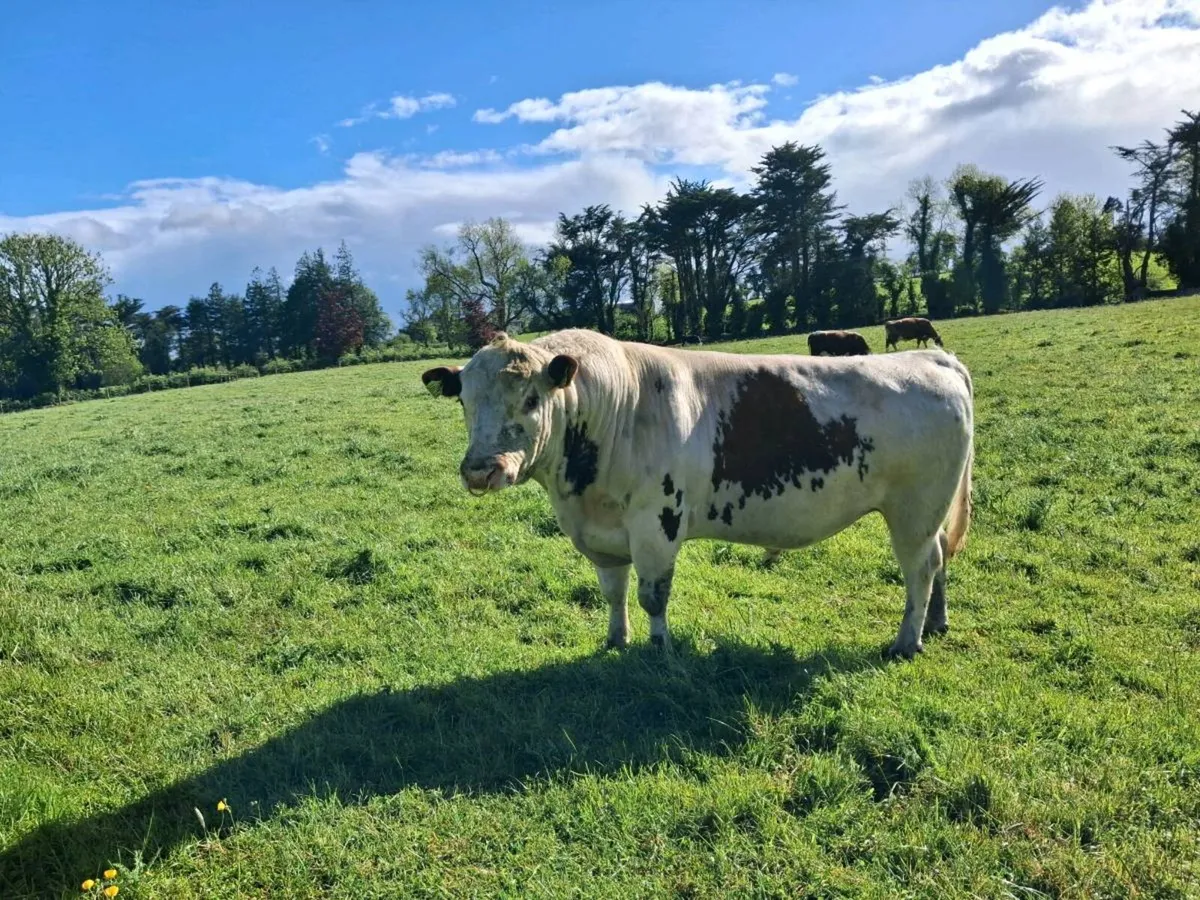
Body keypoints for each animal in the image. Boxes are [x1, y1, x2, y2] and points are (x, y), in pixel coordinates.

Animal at [421, 329, 973, 660]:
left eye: (533, 399)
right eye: (464, 400)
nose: (480, 471)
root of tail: (933, 358)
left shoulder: (656, 524)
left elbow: (652, 594)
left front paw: (659, 648)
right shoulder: (603, 534)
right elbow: (613, 592)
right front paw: (616, 640)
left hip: (914, 510)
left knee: (920, 569)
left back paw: (906, 642)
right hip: (929, 513)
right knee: (940, 559)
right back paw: (937, 624)